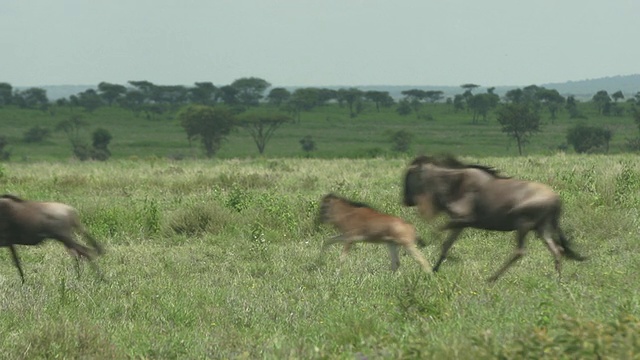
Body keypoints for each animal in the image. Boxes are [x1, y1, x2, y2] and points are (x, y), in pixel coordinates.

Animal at [402, 155, 588, 282]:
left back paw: (492, 278)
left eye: (409, 174)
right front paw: (434, 270)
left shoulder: (464, 219)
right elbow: (446, 244)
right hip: (542, 228)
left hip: (523, 224)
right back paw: (558, 280)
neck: (452, 183)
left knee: (520, 251)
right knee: (557, 249)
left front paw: (423, 244)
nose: (405, 200)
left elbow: (437, 232)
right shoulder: (460, 223)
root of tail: (557, 200)